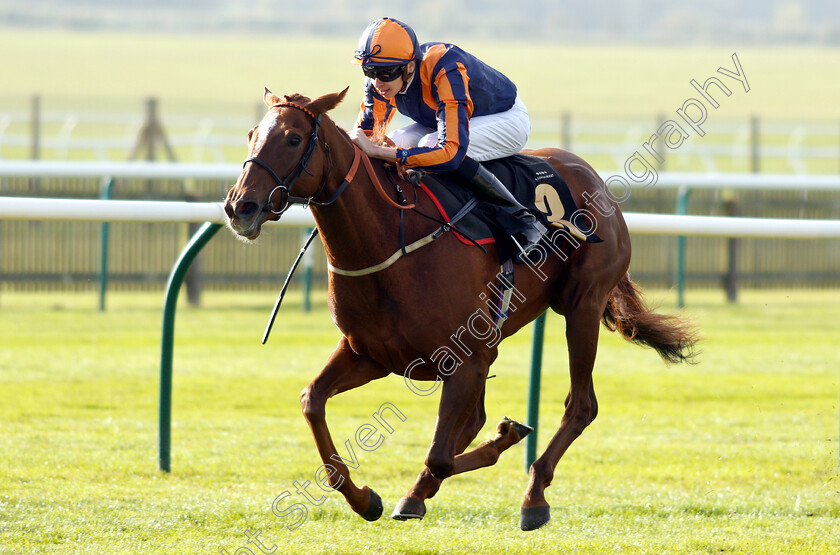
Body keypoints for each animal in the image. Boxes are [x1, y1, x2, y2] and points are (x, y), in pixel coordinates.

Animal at [223, 87, 696, 528]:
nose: (239, 206)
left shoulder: (467, 358)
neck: (389, 241)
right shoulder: (370, 354)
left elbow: (441, 455)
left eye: (293, 138)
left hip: (582, 305)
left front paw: (505, 439)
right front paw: (366, 499)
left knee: (581, 405)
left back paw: (533, 496)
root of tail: (591, 175)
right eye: (250, 134)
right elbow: (312, 401)